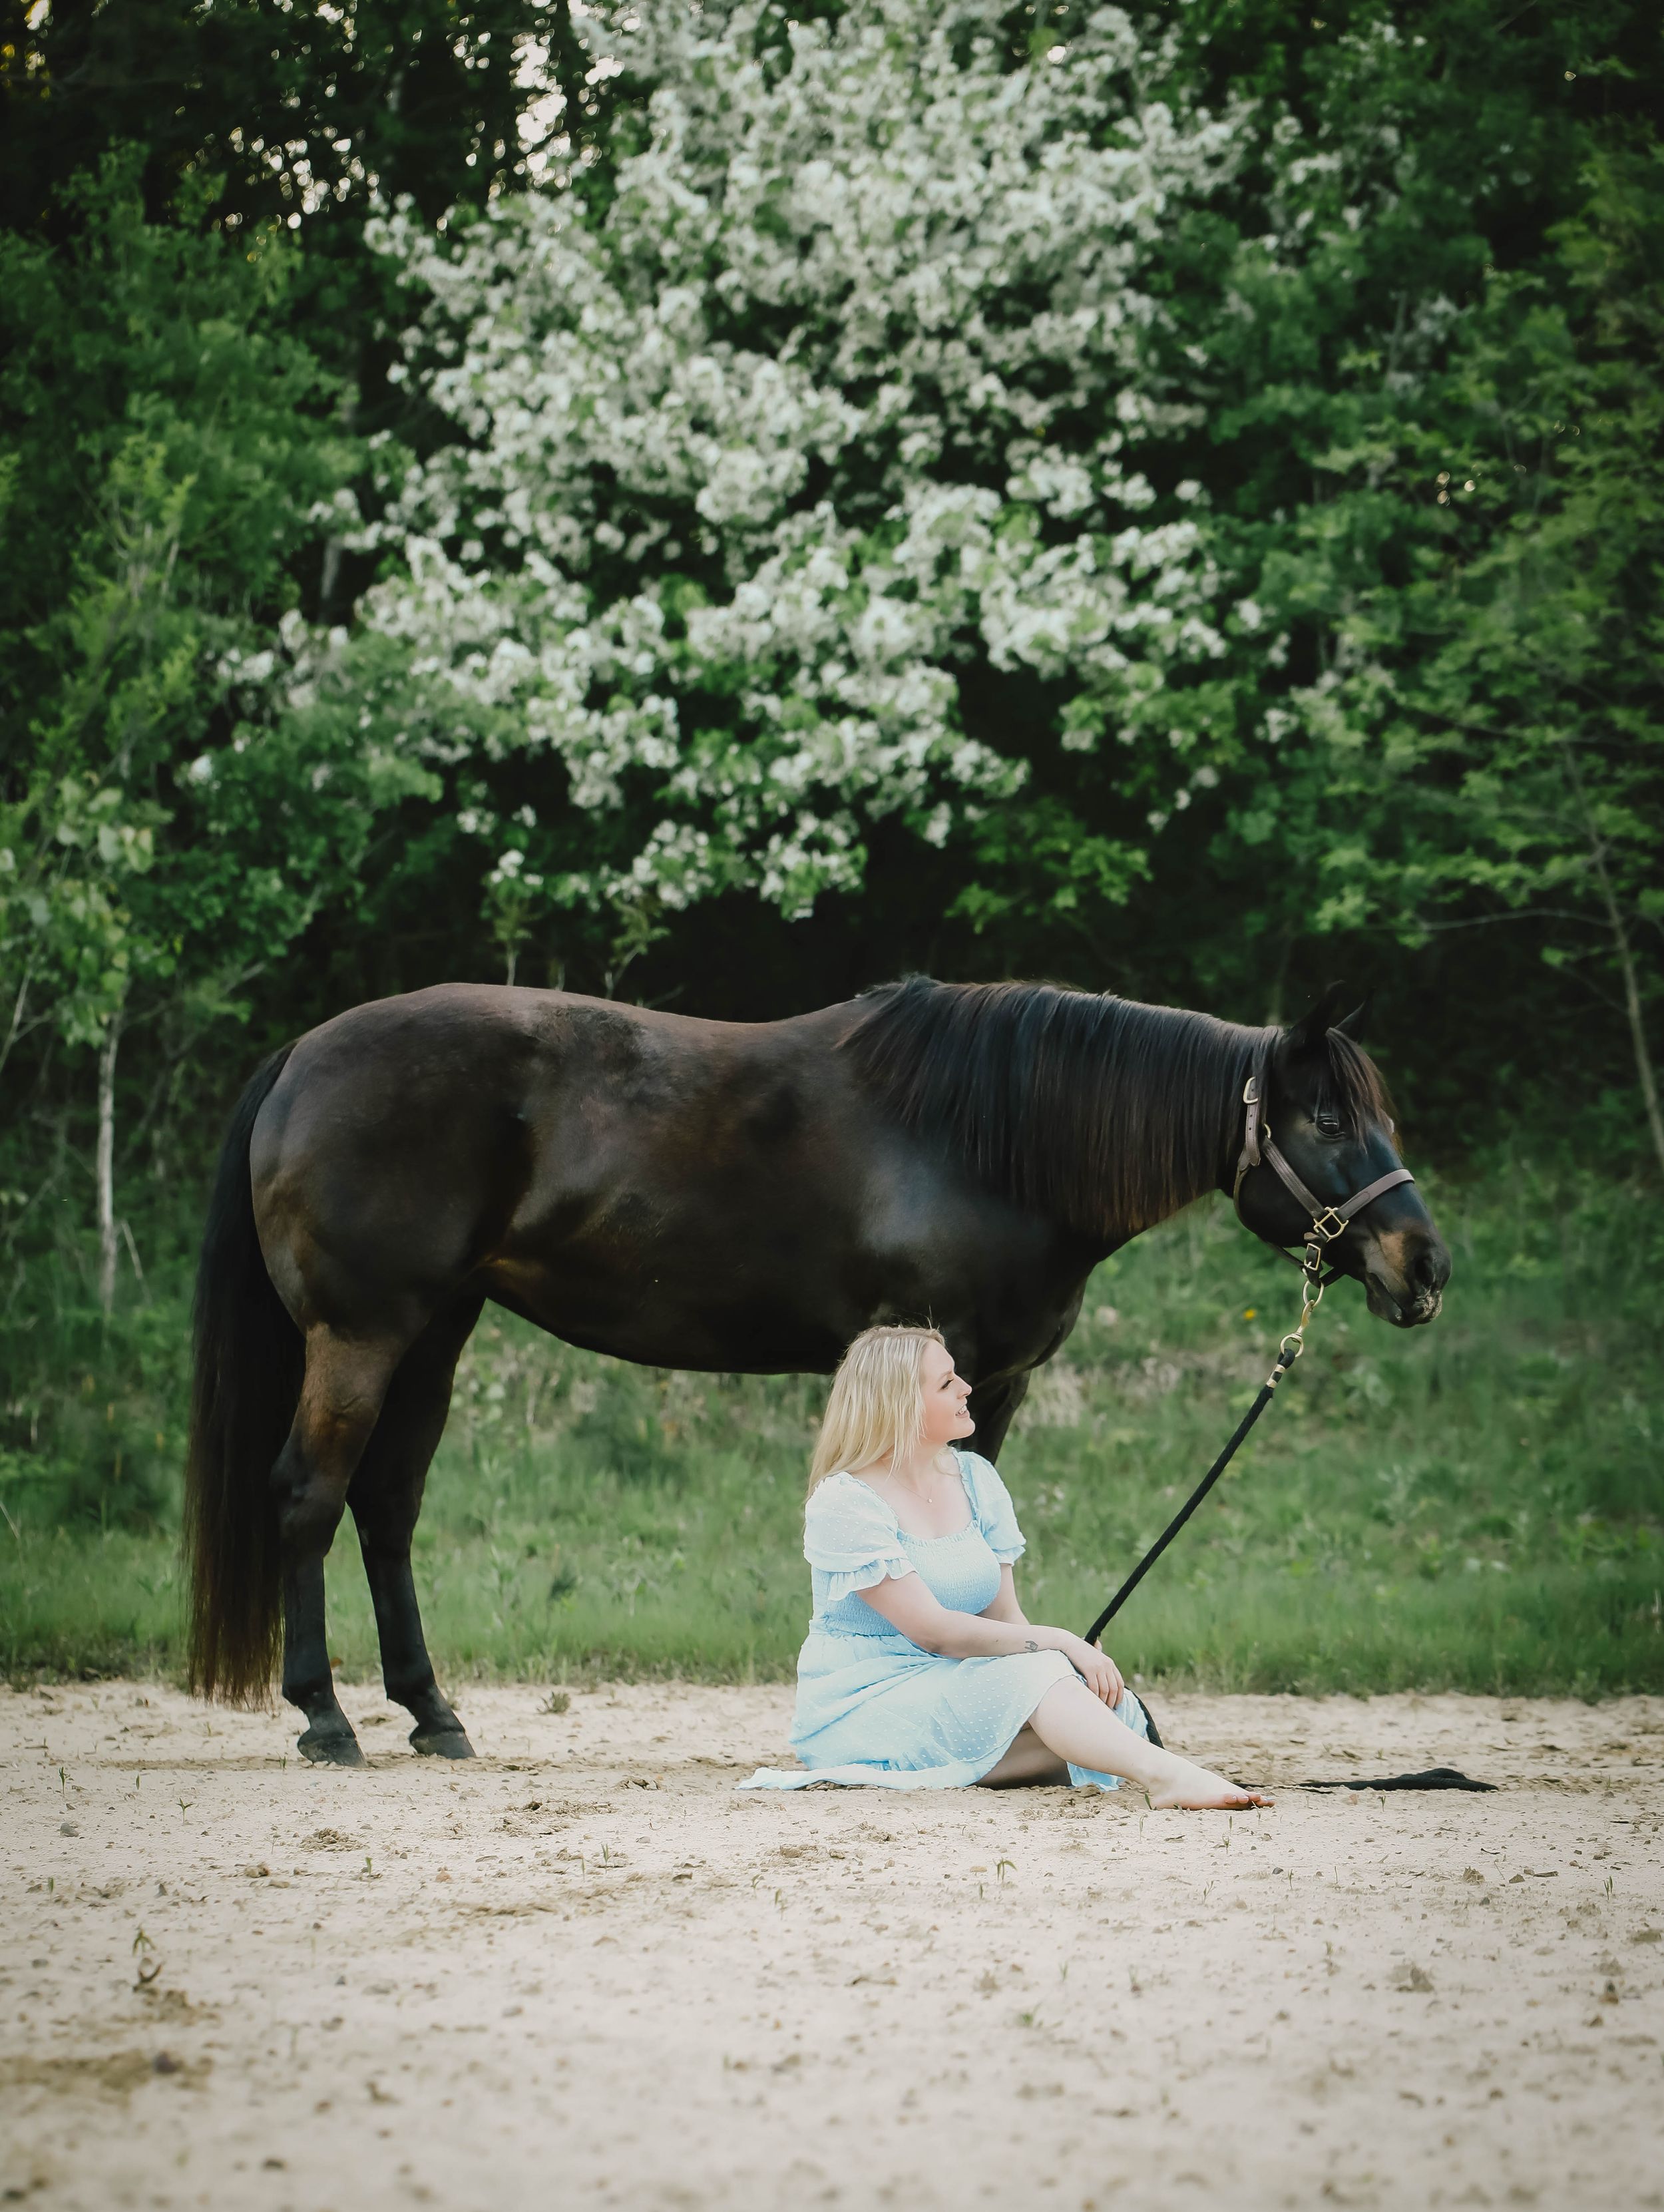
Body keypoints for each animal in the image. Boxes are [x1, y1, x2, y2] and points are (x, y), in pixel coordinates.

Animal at [183, 974, 1450, 1766]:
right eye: (1328, 1116)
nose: (1424, 1263)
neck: (989, 1140)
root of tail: (301, 1055)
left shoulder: (994, 1381)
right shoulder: (956, 1371)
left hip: (436, 1331)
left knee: (387, 1507)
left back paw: (432, 1712)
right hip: (362, 1333)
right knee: (310, 1495)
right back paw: (326, 1717)